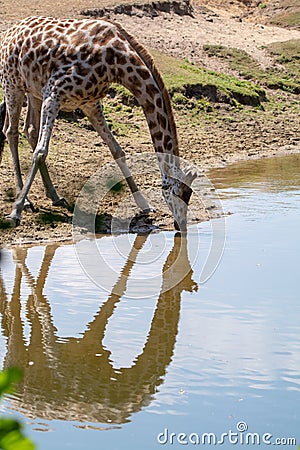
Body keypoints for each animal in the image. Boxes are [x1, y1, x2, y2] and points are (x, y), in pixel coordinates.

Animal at [0, 15, 197, 230]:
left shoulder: (90, 104)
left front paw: (144, 204)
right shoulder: (54, 91)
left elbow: (117, 150)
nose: (181, 226)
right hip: (13, 84)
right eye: (177, 193)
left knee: (30, 129)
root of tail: (8, 33)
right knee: (11, 131)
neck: (117, 63)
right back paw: (26, 201)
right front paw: (16, 210)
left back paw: (55, 196)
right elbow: (41, 152)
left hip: (33, 90)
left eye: (189, 194)